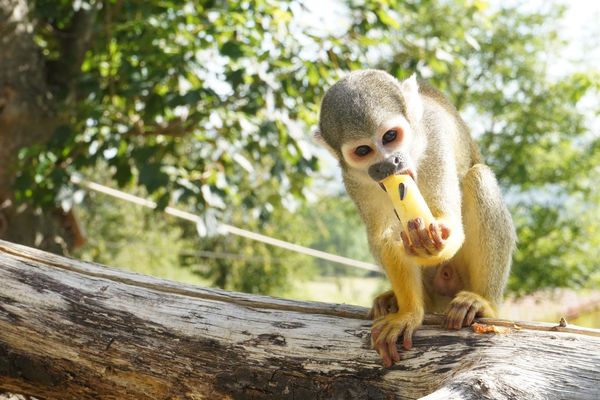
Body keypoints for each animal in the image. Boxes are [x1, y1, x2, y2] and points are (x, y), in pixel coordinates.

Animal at [314, 70, 516, 368]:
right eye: (363, 151)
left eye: (390, 136)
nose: (388, 164)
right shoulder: (354, 179)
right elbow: (386, 237)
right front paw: (408, 313)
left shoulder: (435, 138)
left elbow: (451, 223)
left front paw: (432, 241)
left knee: (478, 177)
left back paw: (483, 303)